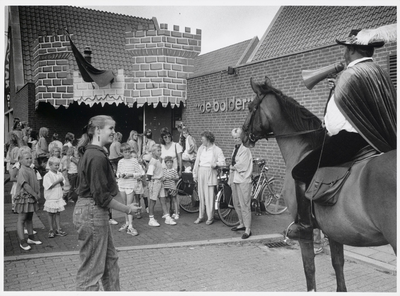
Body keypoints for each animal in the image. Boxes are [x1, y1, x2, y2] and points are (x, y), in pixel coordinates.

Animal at [241, 76, 396, 292]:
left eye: (250, 107)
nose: (242, 136)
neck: (303, 149)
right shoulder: (335, 230)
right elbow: (338, 266)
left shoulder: (305, 234)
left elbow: (309, 270)